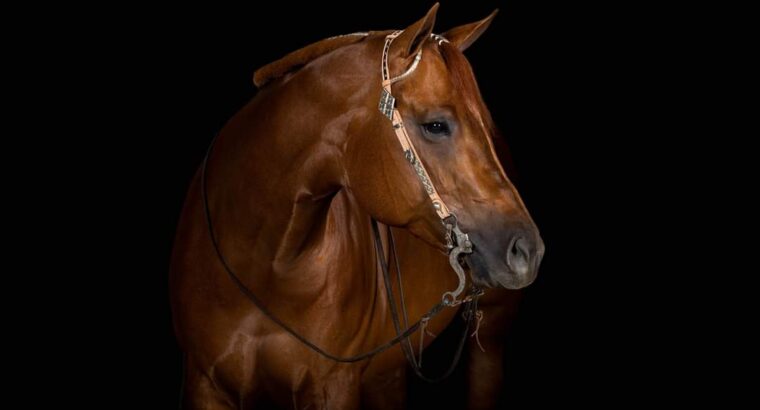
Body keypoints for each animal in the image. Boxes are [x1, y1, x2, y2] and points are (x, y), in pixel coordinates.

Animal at [170, 4, 544, 409]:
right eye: (436, 125)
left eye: (485, 126)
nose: (528, 250)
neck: (264, 261)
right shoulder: (204, 384)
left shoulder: (334, 385)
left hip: (490, 335)